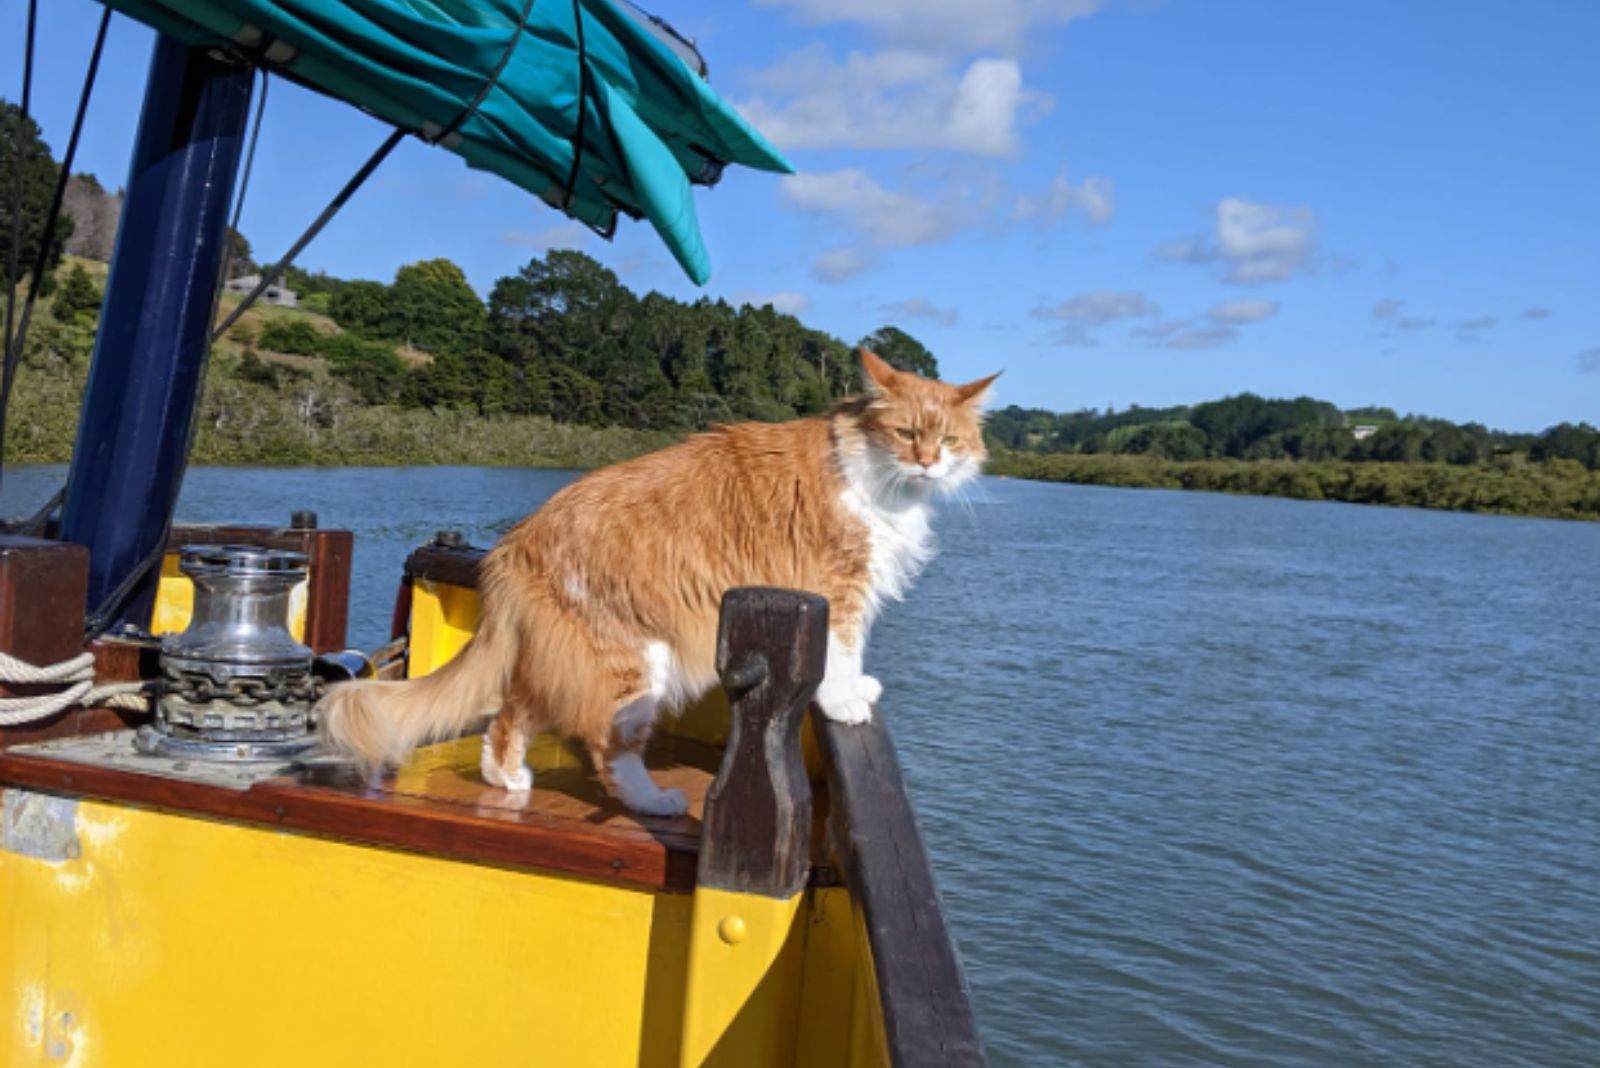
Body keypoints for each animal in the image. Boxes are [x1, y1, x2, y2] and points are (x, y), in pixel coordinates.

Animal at [316, 354, 992, 812]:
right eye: (906, 433)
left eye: (947, 438)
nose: (928, 461)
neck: (880, 479)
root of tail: (515, 545)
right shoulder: (838, 587)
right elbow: (843, 656)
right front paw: (847, 701)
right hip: (638, 664)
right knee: (606, 747)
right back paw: (654, 802)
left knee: (511, 714)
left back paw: (505, 779)